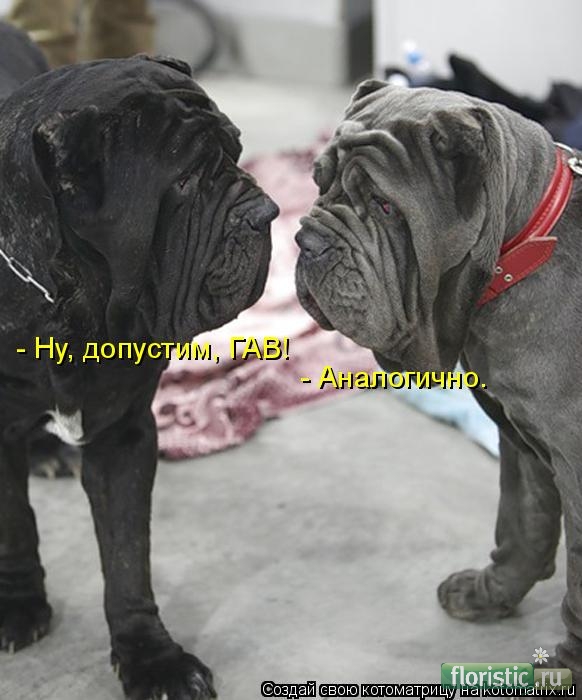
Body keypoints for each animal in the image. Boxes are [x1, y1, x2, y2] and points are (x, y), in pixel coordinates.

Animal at [0, 26, 278, 699]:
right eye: (181, 184)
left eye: (236, 151)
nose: (265, 214)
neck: (68, 305)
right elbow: (13, 520)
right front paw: (19, 604)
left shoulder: (122, 430)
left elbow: (128, 558)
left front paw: (151, 656)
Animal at [296, 79, 582, 675]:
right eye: (318, 181)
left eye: (385, 205)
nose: (307, 241)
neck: (525, 241)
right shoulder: (521, 440)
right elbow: (523, 522)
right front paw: (491, 593)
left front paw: (568, 664)